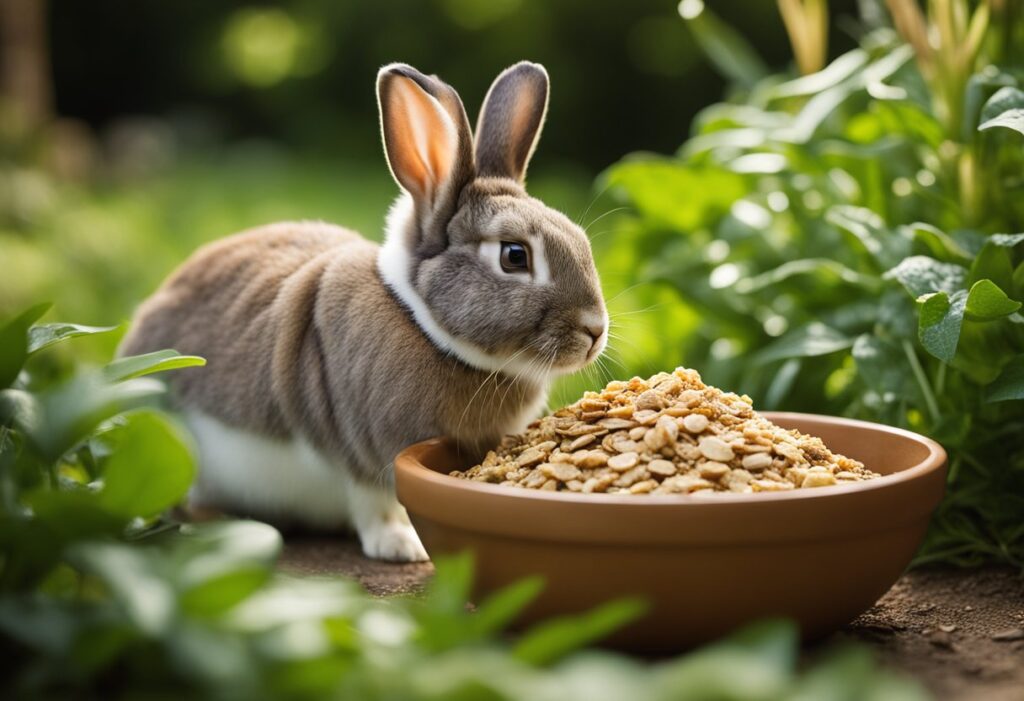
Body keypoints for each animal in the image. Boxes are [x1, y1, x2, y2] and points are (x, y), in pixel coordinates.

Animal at [122, 62, 606, 560]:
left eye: (579, 240)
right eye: (514, 255)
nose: (595, 330)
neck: (421, 321)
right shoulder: (363, 452)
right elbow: (375, 501)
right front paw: (402, 546)